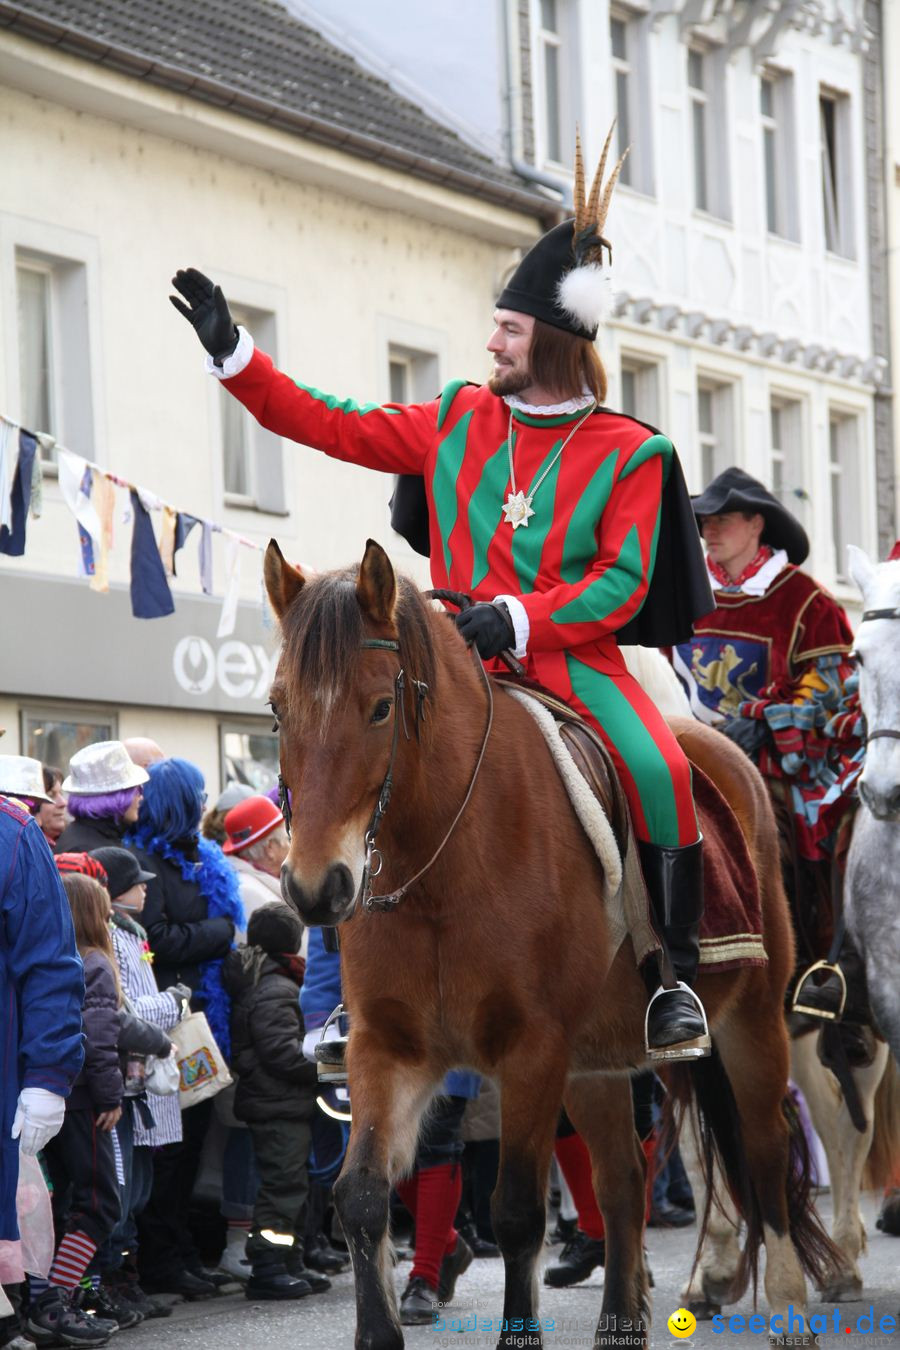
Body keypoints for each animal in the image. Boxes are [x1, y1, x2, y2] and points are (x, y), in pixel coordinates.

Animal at [264, 540, 841, 1350]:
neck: (442, 860)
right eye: (277, 709)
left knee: (764, 1154)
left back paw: (788, 1310)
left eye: (379, 707)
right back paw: (623, 1321)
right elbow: (363, 1196)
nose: (316, 888)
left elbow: (514, 1212)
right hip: (597, 1060)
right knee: (625, 1181)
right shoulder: (389, 1048)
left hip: (751, 1026)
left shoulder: (532, 1049)